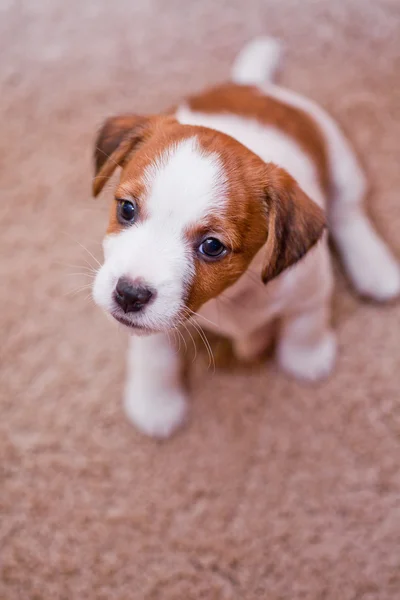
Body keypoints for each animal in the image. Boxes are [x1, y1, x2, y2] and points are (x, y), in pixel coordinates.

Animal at [91, 38, 400, 436]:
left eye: (212, 246)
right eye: (127, 210)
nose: (129, 294)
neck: (233, 295)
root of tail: (251, 85)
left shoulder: (311, 284)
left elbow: (306, 323)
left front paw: (306, 357)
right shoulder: (150, 331)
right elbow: (154, 352)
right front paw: (156, 402)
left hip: (339, 154)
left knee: (349, 211)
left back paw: (374, 267)